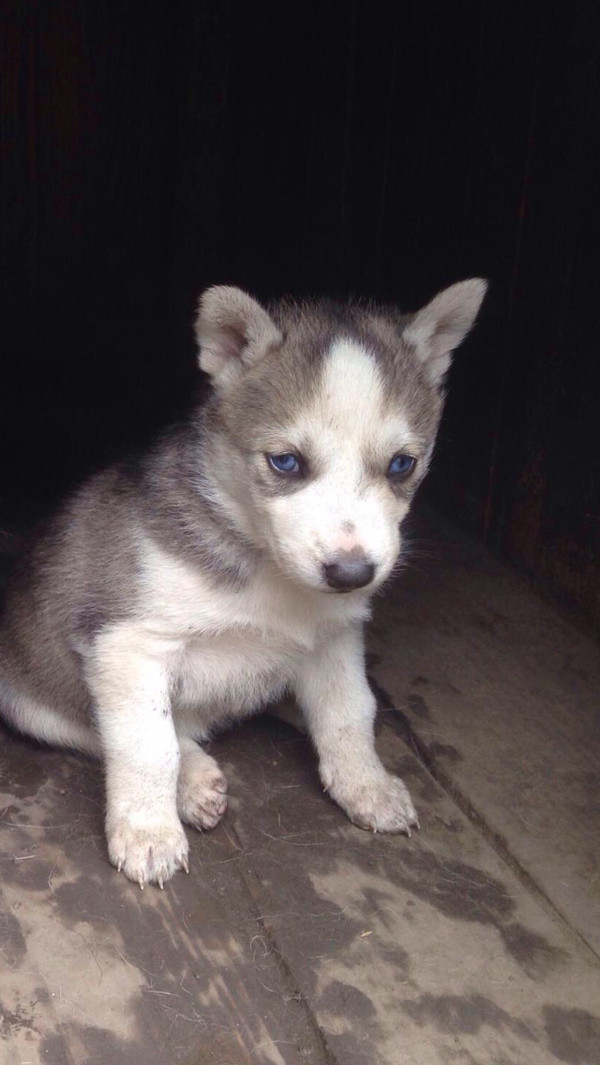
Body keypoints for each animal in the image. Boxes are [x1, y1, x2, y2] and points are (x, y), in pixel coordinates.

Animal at [0, 279, 485, 886]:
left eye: (402, 464)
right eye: (285, 462)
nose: (352, 575)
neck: (267, 571)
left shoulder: (335, 640)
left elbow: (352, 712)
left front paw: (365, 786)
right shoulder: (127, 644)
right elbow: (146, 745)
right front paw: (148, 832)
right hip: (26, 695)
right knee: (112, 732)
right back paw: (192, 780)